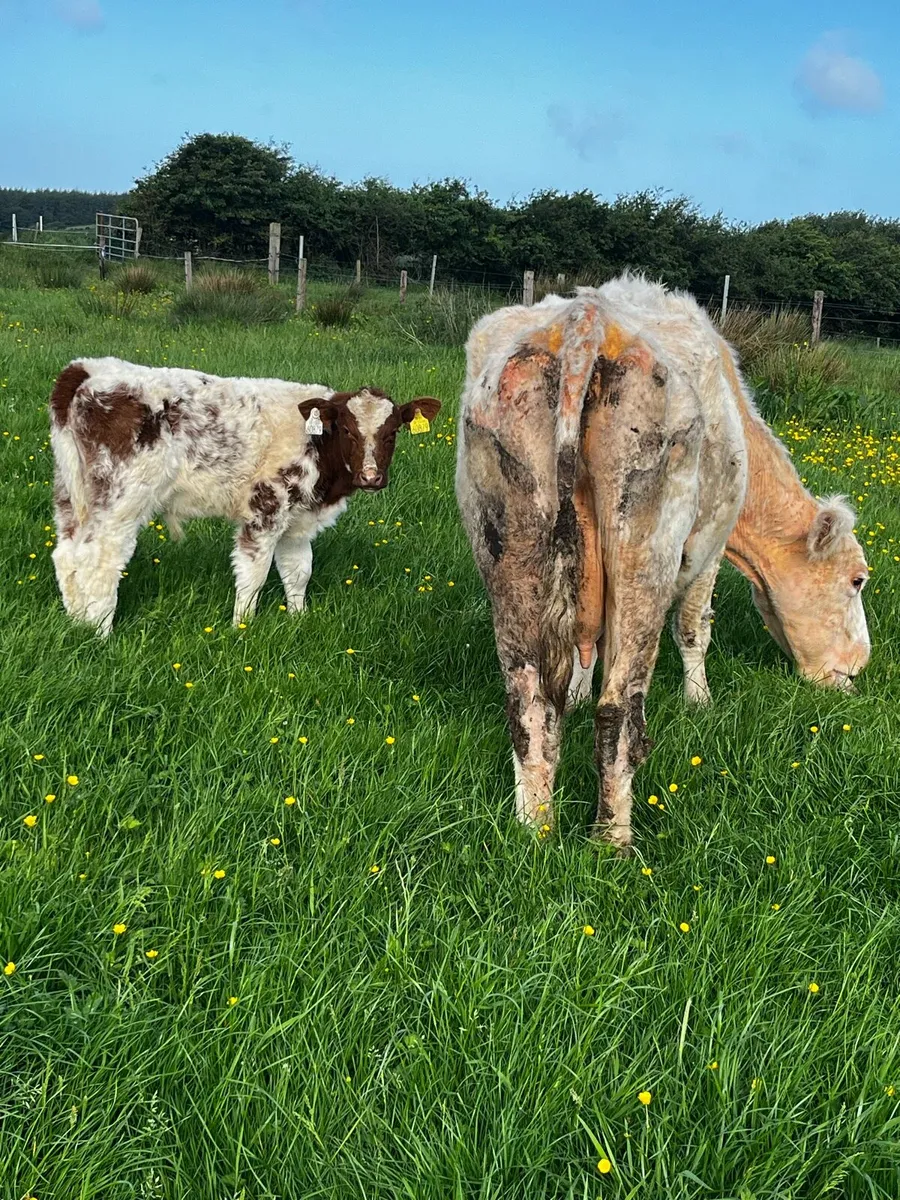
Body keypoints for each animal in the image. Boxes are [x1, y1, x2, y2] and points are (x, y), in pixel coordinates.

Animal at [49, 357, 440, 635]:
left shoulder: (298, 518)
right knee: (100, 559)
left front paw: (299, 618)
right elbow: (254, 573)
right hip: (122, 497)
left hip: (70, 490)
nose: (371, 477)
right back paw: (101, 632)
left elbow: (298, 570)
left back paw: (77, 622)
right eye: (346, 429)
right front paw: (242, 627)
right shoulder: (266, 507)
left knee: (66, 554)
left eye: (393, 432)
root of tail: (88, 370)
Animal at [456, 276, 870, 852]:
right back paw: (613, 843)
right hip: (646, 543)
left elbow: (588, 649)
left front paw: (577, 692)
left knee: (530, 707)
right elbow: (695, 626)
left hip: (510, 541)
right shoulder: (709, 544)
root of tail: (587, 323)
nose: (858, 668)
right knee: (619, 710)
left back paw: (534, 832)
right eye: (857, 580)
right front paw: (700, 701)